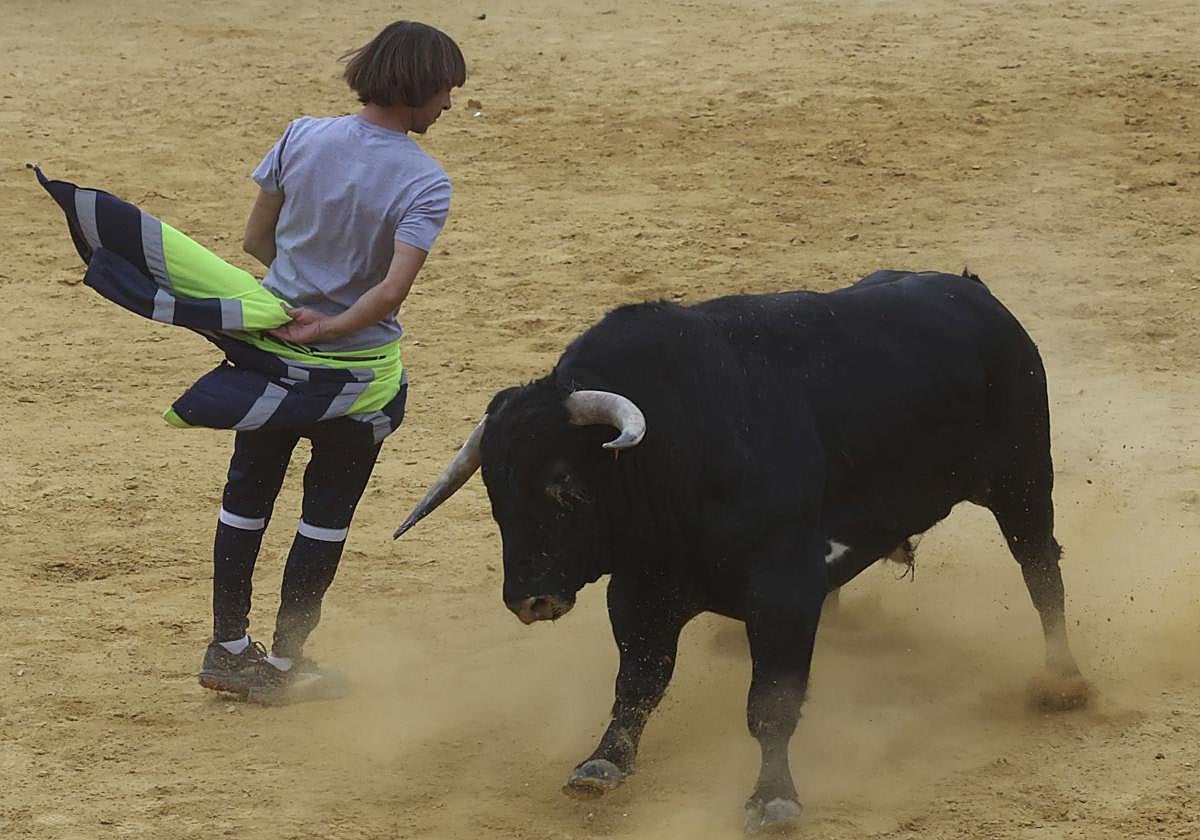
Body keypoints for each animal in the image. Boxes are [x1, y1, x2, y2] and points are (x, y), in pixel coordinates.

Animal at [394, 269, 1090, 833]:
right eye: (494, 491)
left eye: (565, 485)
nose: (528, 599)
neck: (679, 444)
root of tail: (977, 295)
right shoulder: (640, 589)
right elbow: (638, 684)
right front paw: (601, 764)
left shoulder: (781, 591)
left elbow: (770, 704)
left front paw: (773, 798)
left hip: (1024, 481)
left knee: (1041, 573)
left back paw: (1063, 681)